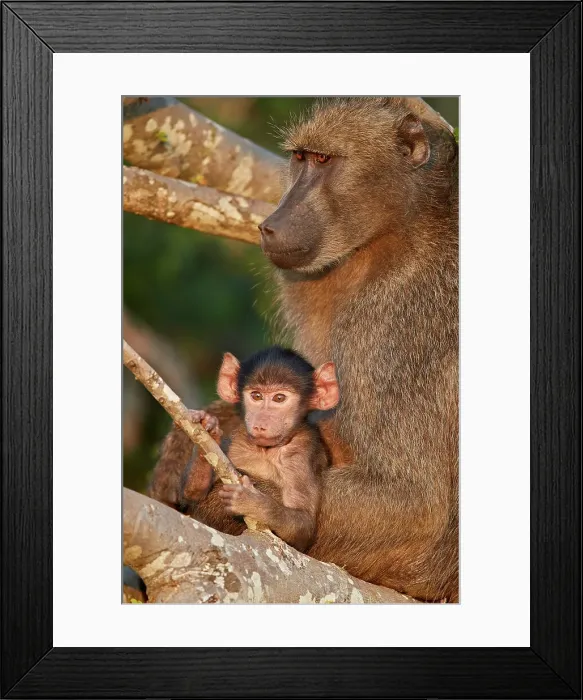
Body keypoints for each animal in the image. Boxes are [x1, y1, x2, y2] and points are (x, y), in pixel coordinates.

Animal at [150, 97, 459, 602]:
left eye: (325, 160)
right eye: (300, 158)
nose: (270, 225)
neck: (405, 225)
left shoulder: (396, 319)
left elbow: (413, 506)